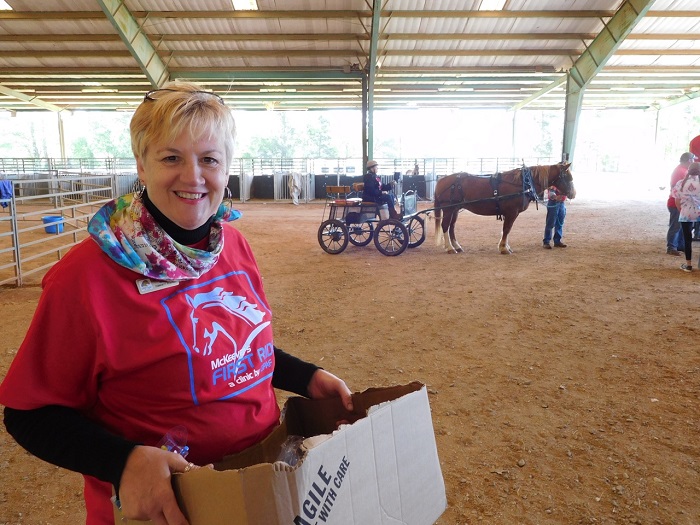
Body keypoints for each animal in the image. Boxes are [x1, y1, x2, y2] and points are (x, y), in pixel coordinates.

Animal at [432, 163, 576, 255]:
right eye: (568, 177)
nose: (573, 194)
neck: (523, 183)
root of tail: (441, 180)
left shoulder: (510, 213)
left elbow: (506, 230)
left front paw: (506, 246)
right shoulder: (512, 212)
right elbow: (507, 229)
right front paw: (503, 248)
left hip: (455, 209)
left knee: (451, 227)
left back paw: (457, 246)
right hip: (449, 209)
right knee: (445, 226)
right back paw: (450, 248)